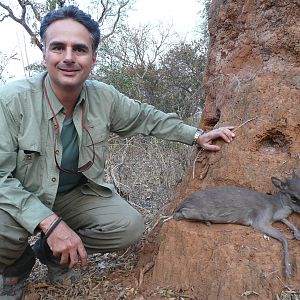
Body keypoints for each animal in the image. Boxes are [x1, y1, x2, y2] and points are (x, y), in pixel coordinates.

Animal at [172, 172, 300, 278]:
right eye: (293, 197)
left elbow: (287, 222)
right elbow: (284, 238)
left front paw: (297, 234)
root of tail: (182, 202)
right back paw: (206, 221)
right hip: (199, 211)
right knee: (177, 215)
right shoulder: (260, 221)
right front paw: (288, 271)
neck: (275, 207)